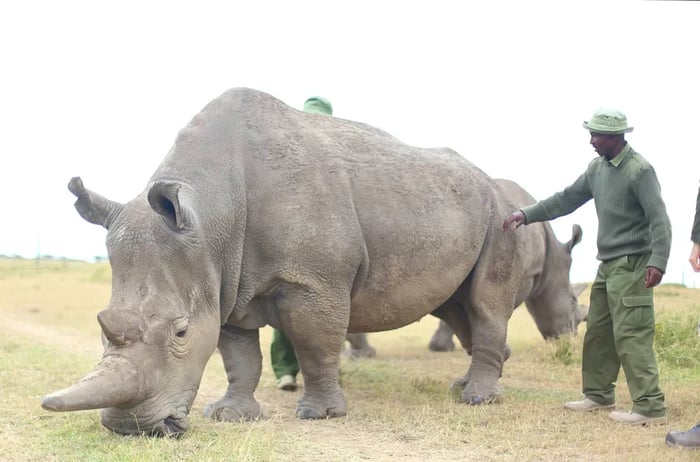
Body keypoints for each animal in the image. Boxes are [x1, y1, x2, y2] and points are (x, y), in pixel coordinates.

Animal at [42, 87, 536, 436]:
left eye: (180, 332)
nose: (131, 430)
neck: (211, 213)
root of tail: (490, 181)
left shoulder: (313, 283)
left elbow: (315, 345)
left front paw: (320, 415)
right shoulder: (223, 280)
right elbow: (239, 356)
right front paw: (230, 416)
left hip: (500, 215)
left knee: (484, 304)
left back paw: (477, 400)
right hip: (449, 207)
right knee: (455, 305)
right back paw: (470, 386)